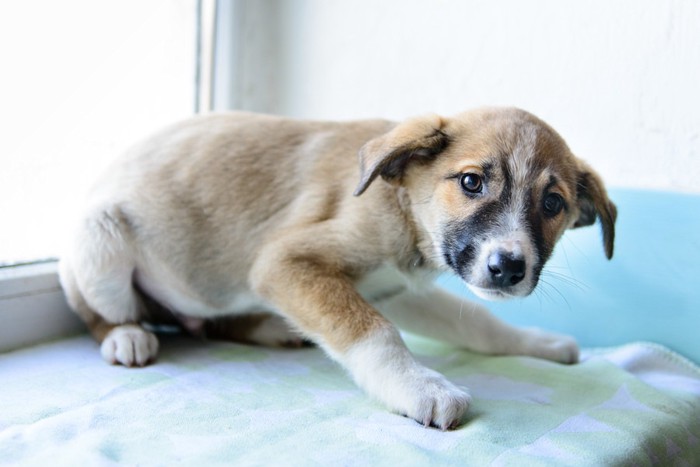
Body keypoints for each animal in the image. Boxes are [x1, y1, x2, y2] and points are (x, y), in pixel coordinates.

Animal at [60, 108, 616, 430]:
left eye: (552, 204)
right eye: (471, 182)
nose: (508, 268)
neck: (401, 201)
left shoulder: (398, 288)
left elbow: (478, 322)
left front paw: (538, 343)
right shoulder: (283, 262)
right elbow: (375, 332)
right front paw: (421, 387)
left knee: (216, 323)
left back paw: (274, 328)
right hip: (100, 237)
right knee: (100, 313)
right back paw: (126, 336)